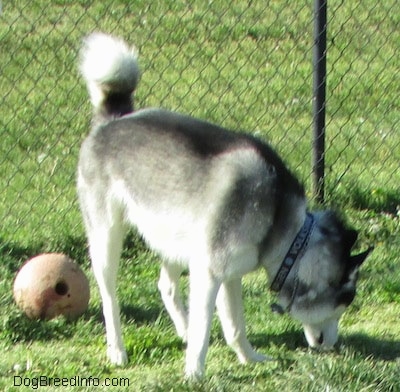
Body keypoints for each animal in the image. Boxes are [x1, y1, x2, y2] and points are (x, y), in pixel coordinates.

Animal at [77, 33, 372, 380]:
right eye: (345, 301)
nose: (335, 344)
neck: (282, 226)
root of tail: (114, 120)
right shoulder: (210, 272)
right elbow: (205, 328)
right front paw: (194, 373)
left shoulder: (230, 275)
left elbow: (235, 326)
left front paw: (249, 358)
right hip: (107, 237)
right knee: (109, 296)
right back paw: (117, 350)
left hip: (175, 237)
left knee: (166, 285)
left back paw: (182, 330)